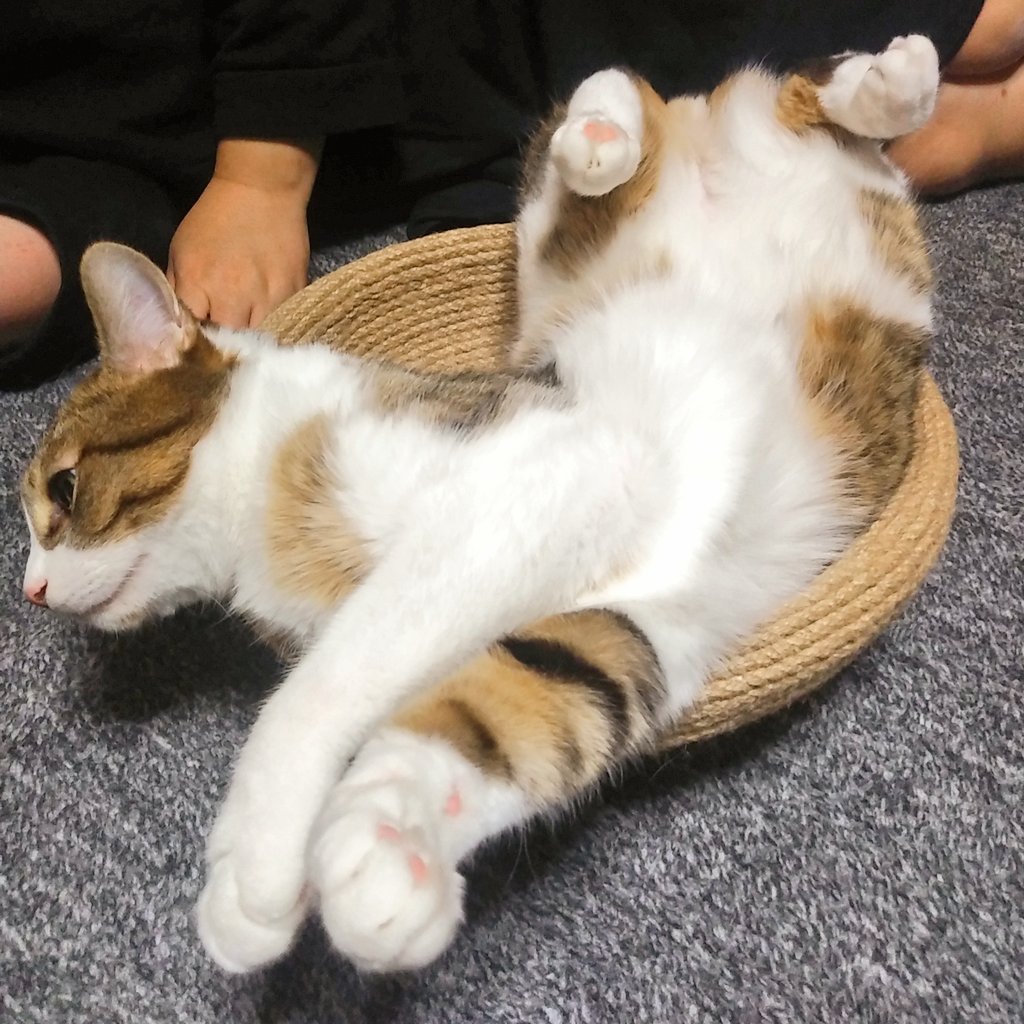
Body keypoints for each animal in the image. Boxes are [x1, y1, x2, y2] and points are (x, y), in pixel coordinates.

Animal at [20, 35, 937, 974]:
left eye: (63, 489)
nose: (34, 589)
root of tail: (714, 149)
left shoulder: (546, 480)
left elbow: (319, 689)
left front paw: (256, 863)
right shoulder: (640, 622)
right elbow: (522, 705)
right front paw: (389, 857)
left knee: (731, 101)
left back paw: (812, 94)